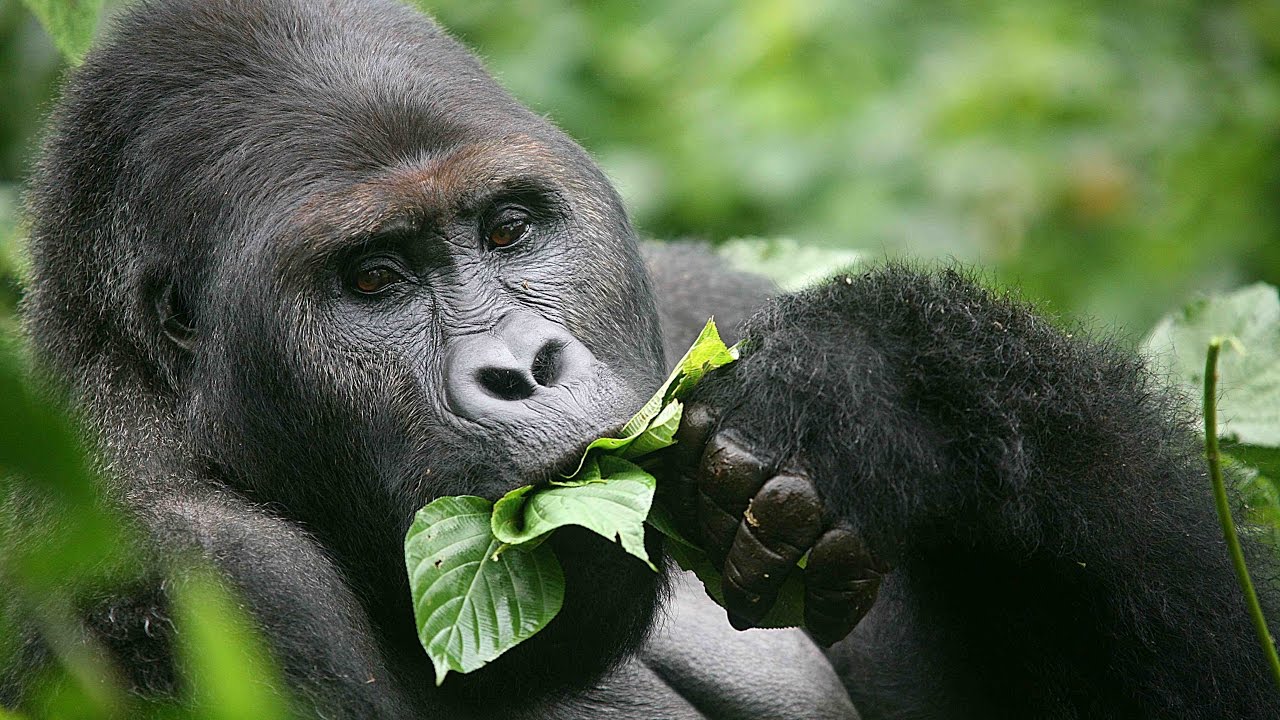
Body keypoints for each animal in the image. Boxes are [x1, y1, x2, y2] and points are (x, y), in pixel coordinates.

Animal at [2, 0, 1280, 712]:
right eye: (372, 281)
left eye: (508, 229)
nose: (525, 368)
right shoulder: (169, 569)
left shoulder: (697, 298)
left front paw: (896, 389)